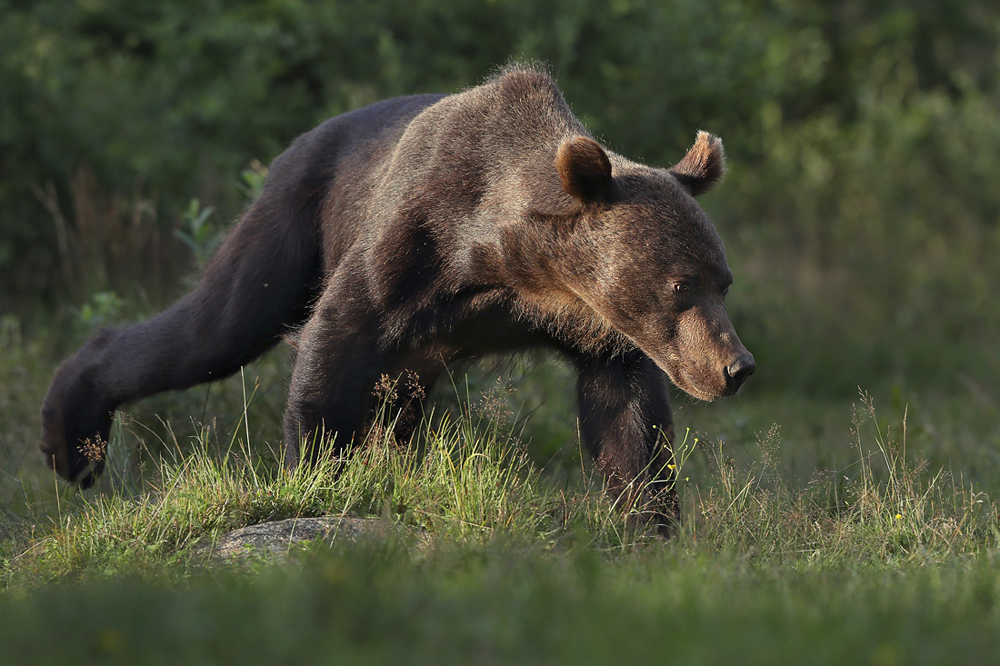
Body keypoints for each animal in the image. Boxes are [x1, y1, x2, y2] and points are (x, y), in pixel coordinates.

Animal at [43, 65, 752, 528]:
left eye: (723, 280)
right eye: (680, 284)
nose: (735, 367)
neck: (509, 260)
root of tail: (301, 141)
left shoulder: (593, 327)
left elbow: (629, 423)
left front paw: (647, 524)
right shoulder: (409, 241)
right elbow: (334, 346)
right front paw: (317, 478)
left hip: (411, 356)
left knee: (391, 409)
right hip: (293, 216)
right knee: (217, 328)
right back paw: (71, 440)